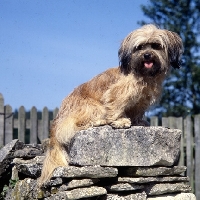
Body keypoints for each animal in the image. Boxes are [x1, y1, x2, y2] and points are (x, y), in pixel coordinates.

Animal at [37, 24, 183, 186]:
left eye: (156, 46)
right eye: (139, 47)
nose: (146, 55)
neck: (143, 75)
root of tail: (54, 128)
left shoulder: (141, 101)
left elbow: (137, 111)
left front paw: (139, 121)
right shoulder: (117, 92)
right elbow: (116, 106)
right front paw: (120, 121)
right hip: (92, 107)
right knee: (73, 126)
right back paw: (99, 121)